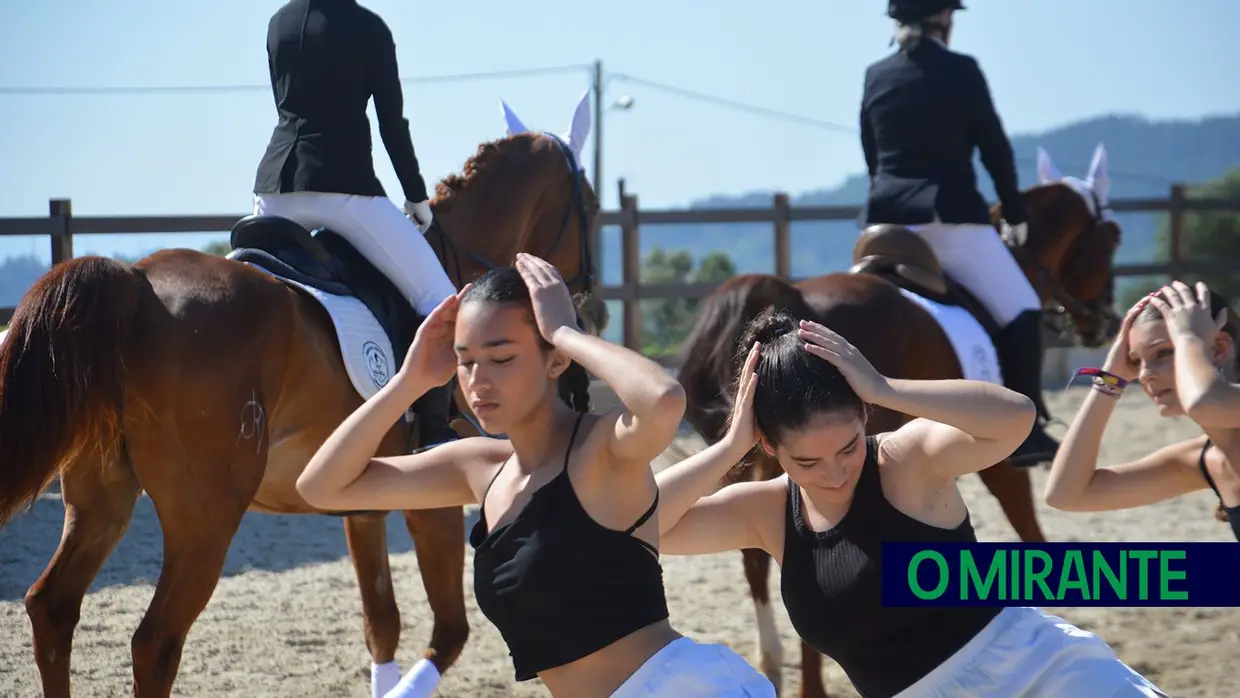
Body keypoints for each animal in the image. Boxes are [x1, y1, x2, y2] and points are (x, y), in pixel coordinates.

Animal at [0, 98, 605, 694]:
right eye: (594, 208)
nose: (590, 311)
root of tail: (137, 283)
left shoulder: (365, 500)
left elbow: (382, 625)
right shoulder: (432, 498)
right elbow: (450, 631)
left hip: (101, 500)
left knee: (53, 609)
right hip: (205, 519)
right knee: (155, 643)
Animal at [679, 145, 1125, 694]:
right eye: (1111, 238)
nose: (1103, 321)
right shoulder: (1003, 465)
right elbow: (1027, 524)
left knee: (756, 562)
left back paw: (775, 665)